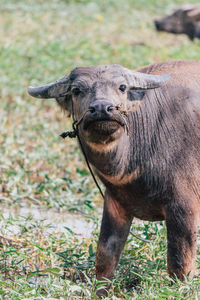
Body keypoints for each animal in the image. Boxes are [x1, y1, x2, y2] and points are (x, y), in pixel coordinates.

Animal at [27, 60, 198, 290]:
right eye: (76, 90)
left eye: (122, 87)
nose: (101, 108)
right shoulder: (115, 203)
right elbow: (105, 256)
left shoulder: (184, 207)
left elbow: (179, 263)